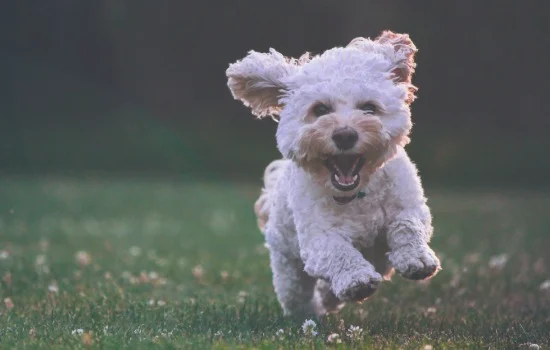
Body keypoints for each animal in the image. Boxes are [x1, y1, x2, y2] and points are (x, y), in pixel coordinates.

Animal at [226, 31, 442, 318]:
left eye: (369, 108)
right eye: (320, 110)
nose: (345, 135)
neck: (357, 195)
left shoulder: (409, 204)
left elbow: (407, 225)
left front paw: (416, 258)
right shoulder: (317, 238)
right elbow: (338, 251)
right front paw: (356, 280)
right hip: (288, 267)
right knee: (297, 294)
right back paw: (313, 311)